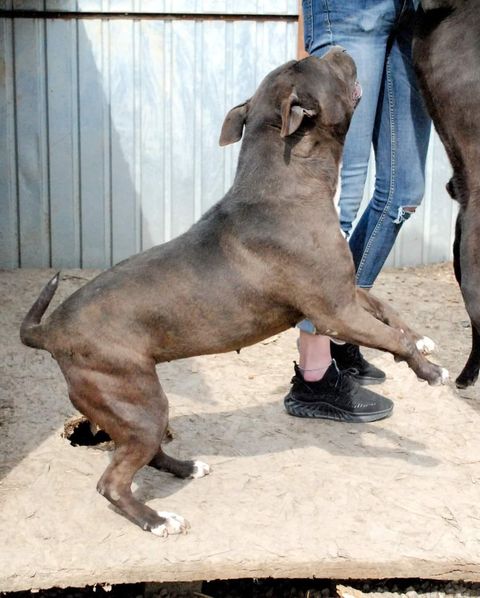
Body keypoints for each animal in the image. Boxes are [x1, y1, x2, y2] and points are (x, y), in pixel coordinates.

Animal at [20, 47, 447, 536]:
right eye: (316, 66)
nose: (337, 49)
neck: (287, 182)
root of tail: (50, 331)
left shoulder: (342, 292)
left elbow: (386, 309)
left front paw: (422, 341)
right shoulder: (334, 312)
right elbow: (390, 336)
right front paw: (429, 372)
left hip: (138, 408)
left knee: (147, 454)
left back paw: (186, 468)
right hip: (135, 399)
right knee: (112, 481)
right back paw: (156, 519)